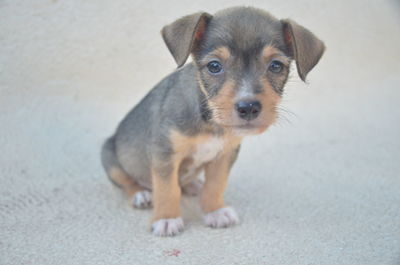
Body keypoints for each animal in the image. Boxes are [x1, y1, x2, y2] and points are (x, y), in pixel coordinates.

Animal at [101, 6, 324, 235]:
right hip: (111, 158)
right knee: (128, 182)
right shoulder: (165, 153)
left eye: (276, 66)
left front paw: (215, 211)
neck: (211, 122)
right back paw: (141, 194)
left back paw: (191, 185)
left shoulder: (224, 156)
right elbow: (167, 189)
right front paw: (167, 218)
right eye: (214, 66)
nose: (248, 108)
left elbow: (215, 186)